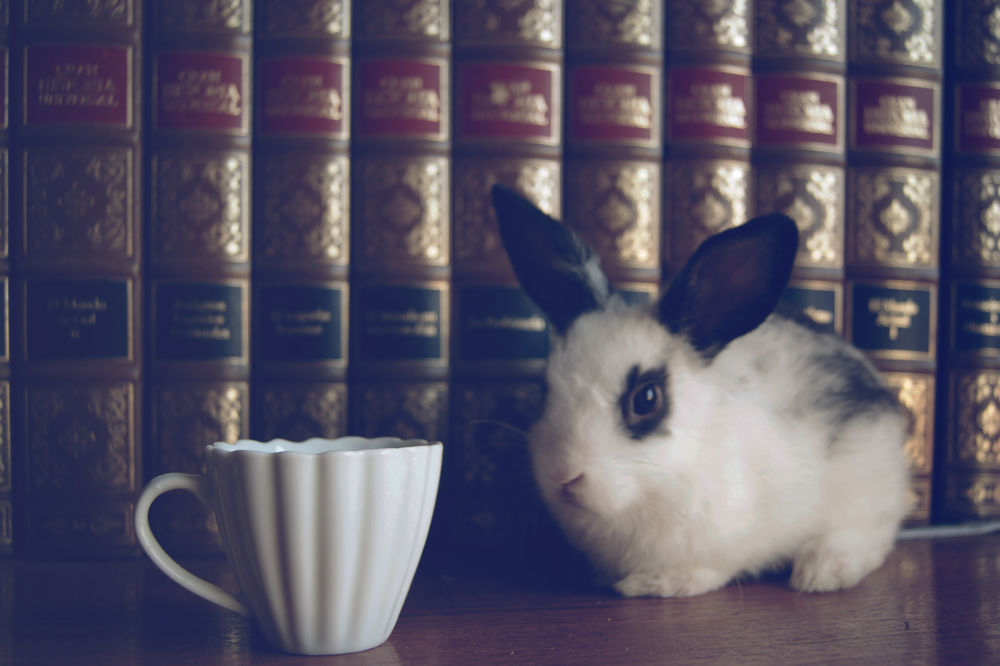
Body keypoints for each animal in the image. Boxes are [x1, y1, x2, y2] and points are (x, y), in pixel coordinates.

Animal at [489, 184, 911, 597]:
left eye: (646, 399)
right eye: (546, 386)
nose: (563, 475)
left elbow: (711, 569)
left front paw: (656, 583)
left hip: (865, 490)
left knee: (871, 536)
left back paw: (821, 572)